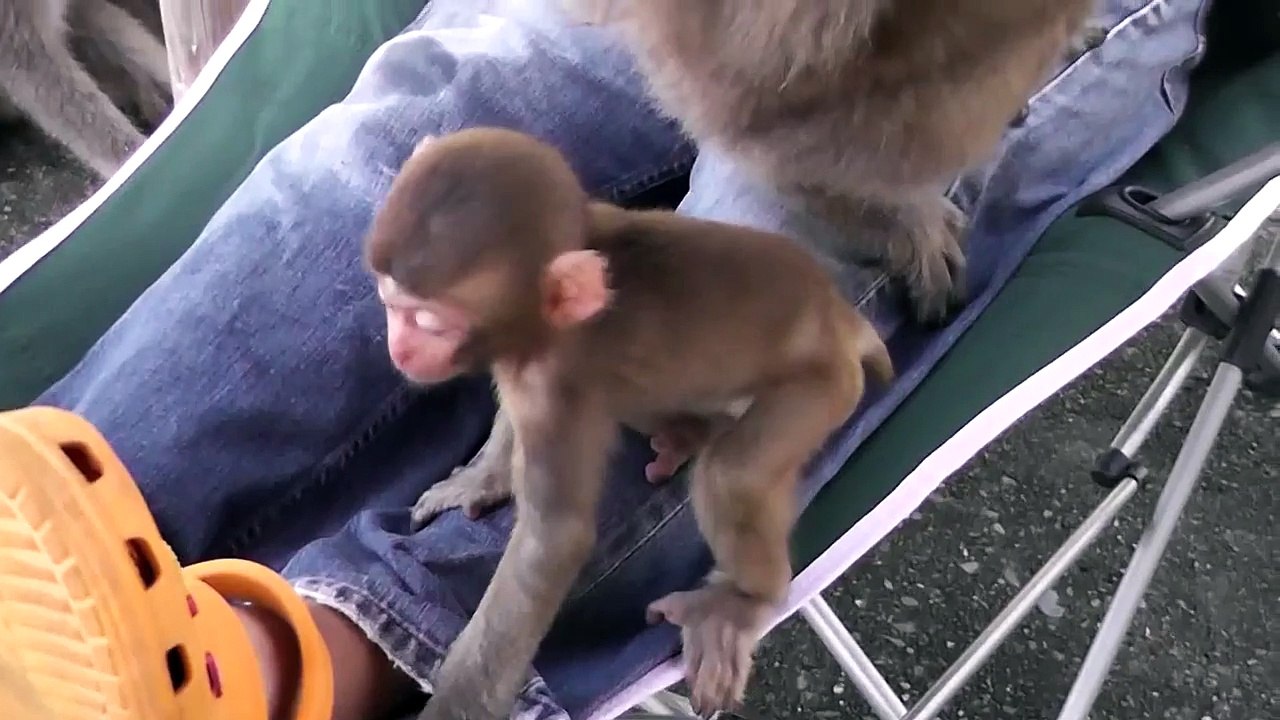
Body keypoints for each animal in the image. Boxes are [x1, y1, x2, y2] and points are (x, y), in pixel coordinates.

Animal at [363, 127, 894, 719]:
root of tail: (839, 318)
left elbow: (554, 541)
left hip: (820, 388)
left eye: (428, 321)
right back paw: (687, 434)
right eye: (389, 302)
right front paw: (481, 479)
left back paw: (743, 600)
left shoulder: (555, 390)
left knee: (730, 474)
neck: (546, 323)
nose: (400, 348)